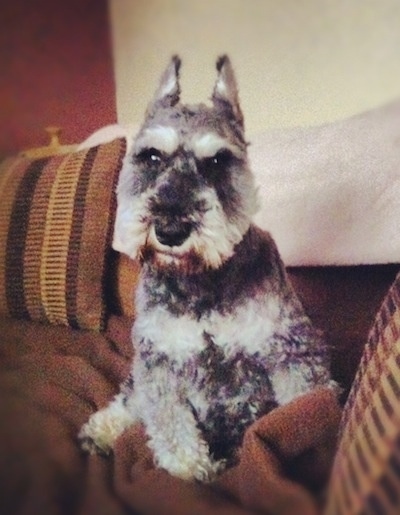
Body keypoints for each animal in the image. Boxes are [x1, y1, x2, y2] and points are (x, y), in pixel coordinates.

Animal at [77, 56, 334, 484]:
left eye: (217, 161)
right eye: (151, 157)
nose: (170, 230)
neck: (199, 282)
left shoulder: (289, 351)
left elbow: (301, 405)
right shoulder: (159, 361)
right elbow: (168, 421)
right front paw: (190, 469)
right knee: (132, 398)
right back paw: (100, 431)